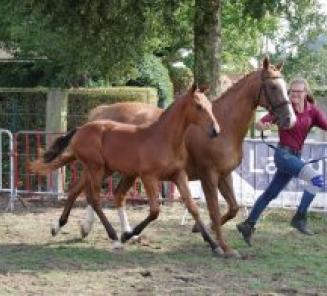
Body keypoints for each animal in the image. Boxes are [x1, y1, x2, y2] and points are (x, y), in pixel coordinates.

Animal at [31, 85, 223, 252]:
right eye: (198, 106)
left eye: (210, 106)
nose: (215, 130)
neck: (164, 138)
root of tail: (80, 129)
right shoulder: (148, 177)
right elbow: (155, 211)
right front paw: (128, 235)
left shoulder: (178, 175)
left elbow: (193, 207)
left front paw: (215, 245)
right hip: (96, 168)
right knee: (94, 198)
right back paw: (115, 237)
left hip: (105, 170)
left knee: (77, 191)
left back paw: (58, 227)